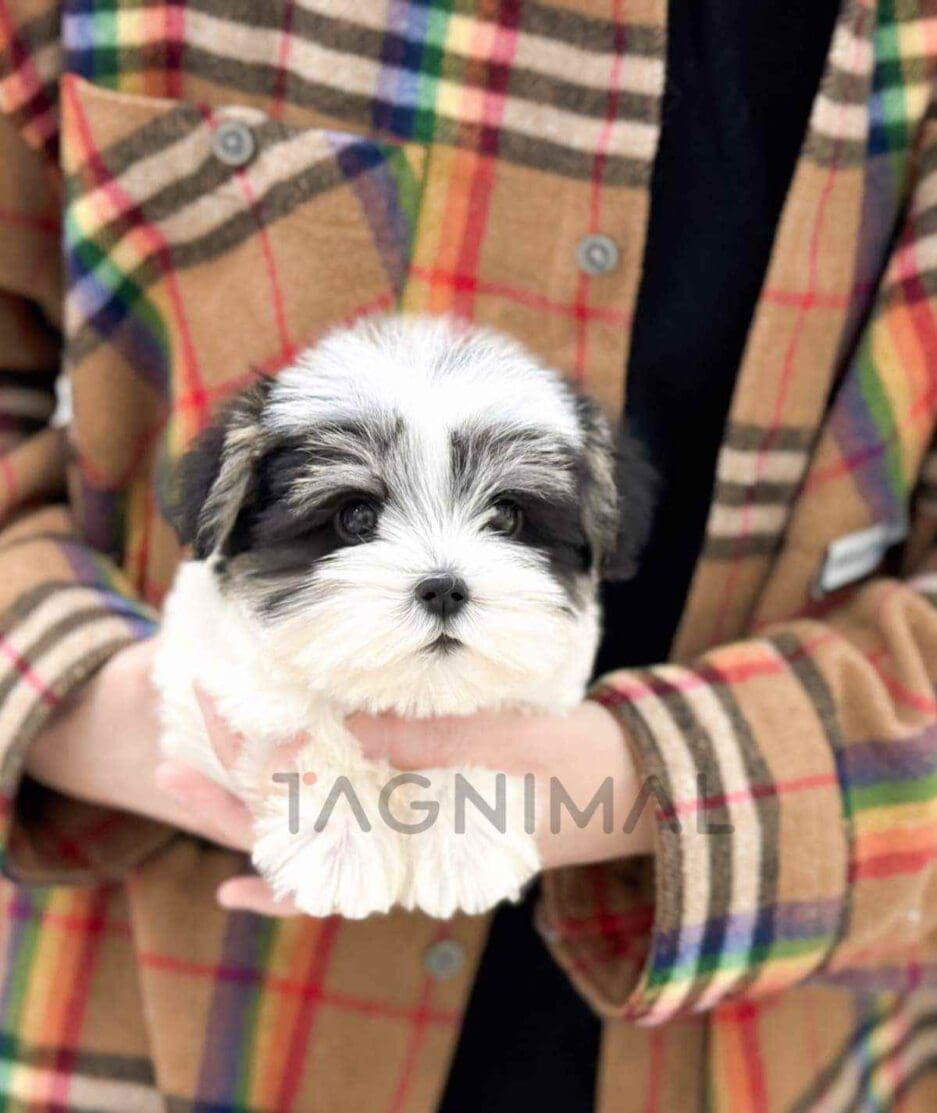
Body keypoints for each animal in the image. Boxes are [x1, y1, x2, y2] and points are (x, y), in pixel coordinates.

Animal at [154, 315, 654, 919]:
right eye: (356, 517)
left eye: (506, 516)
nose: (443, 589)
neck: (414, 694)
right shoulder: (211, 668)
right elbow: (308, 721)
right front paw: (341, 845)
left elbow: (474, 732)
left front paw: (466, 842)